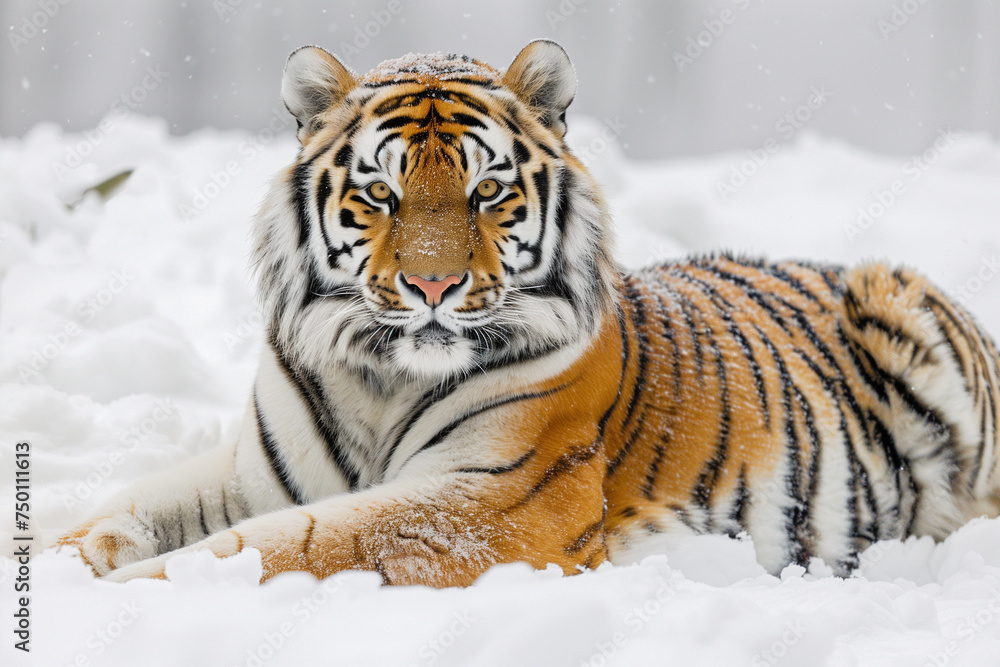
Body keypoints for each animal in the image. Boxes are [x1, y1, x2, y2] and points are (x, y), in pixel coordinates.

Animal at [56, 39, 1000, 586]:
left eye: (487, 192)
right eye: (381, 194)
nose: (433, 286)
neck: (377, 376)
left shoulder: (493, 501)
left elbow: (284, 545)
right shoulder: (258, 474)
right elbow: (129, 508)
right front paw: (58, 557)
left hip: (895, 296)